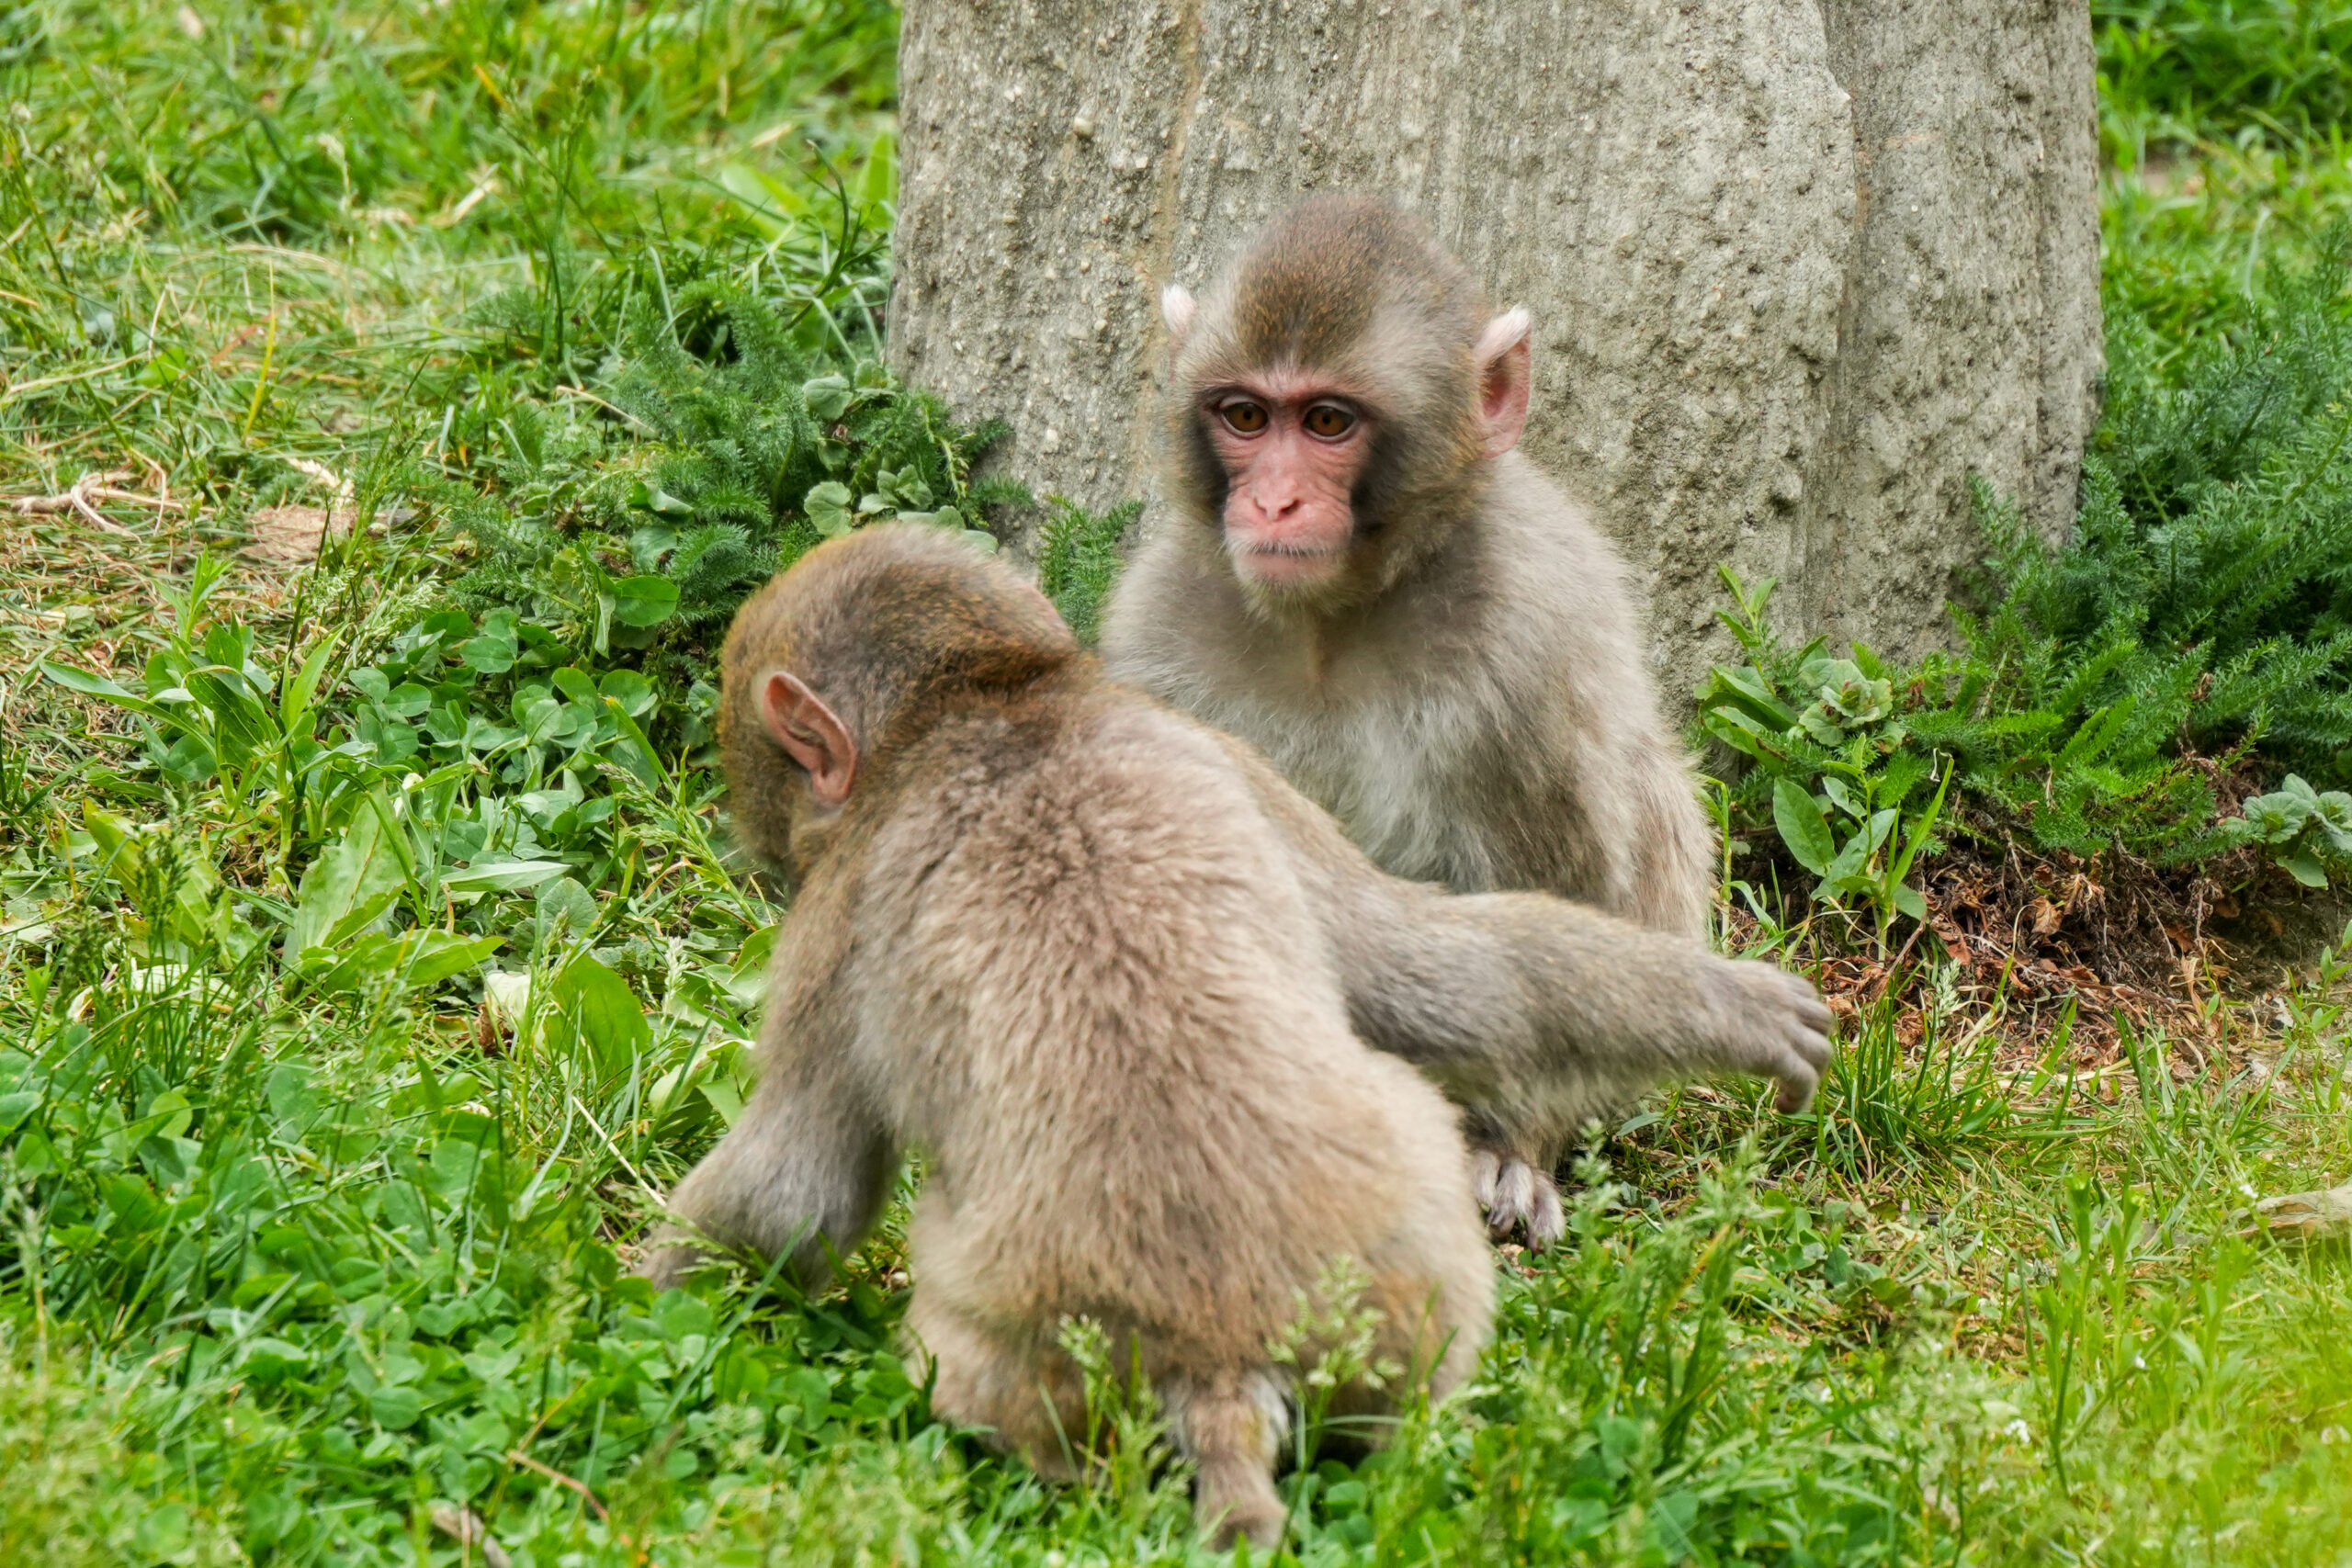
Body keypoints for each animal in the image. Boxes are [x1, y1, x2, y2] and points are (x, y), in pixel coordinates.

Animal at [642, 523, 1833, 1546]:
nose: (765, 861)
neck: (993, 709)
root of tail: (1215, 1350)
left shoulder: (832, 922)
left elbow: (796, 1188)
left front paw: (638, 1297)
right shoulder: (1234, 764)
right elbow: (1444, 974)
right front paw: (1735, 1008)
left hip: (1008, 1362)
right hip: (1394, 1291)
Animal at [1101, 193, 1724, 1244]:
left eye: (1326, 421)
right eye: (1244, 415)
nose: (1274, 501)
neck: (1333, 620)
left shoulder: (1524, 641)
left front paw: (1511, 1153)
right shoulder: (1157, 634)